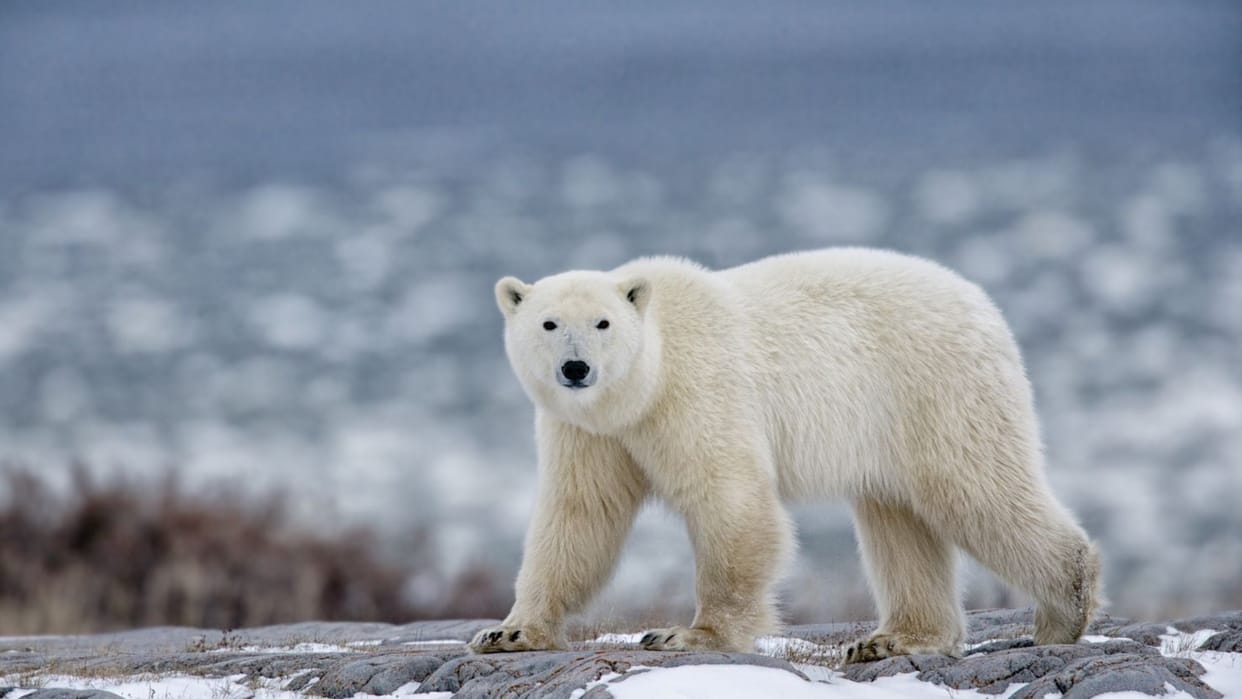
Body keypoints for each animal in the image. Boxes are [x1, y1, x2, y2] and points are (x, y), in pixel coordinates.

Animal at [470, 248, 1099, 662]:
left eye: (602, 323)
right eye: (549, 323)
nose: (576, 368)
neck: (645, 382)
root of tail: (983, 304)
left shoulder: (698, 392)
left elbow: (730, 501)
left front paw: (686, 635)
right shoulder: (589, 431)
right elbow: (579, 516)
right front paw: (508, 632)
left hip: (935, 389)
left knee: (975, 489)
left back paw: (1064, 610)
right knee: (899, 520)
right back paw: (893, 638)